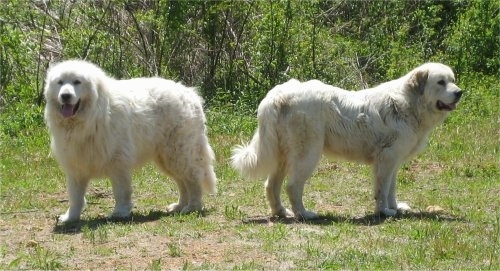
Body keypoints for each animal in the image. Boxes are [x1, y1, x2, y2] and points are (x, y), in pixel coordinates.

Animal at [46, 59, 217, 223]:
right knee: (182, 182)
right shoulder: (76, 166)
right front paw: (70, 218)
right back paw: (179, 206)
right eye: (60, 82)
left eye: (77, 82)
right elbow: (75, 197)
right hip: (167, 159)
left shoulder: (118, 162)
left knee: (194, 178)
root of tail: (191, 94)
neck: (90, 118)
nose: (65, 96)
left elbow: (121, 192)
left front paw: (120, 213)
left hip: (178, 154)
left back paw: (192, 207)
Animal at [232, 62, 462, 220]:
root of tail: (276, 95)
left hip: (283, 155)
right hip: (308, 154)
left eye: (452, 79)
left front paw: (395, 208)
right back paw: (304, 214)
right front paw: (383, 211)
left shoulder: (393, 161)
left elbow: (391, 189)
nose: (459, 92)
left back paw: (281, 212)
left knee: (271, 185)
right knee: (293, 186)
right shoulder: (387, 159)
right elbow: (382, 189)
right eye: (441, 82)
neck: (411, 103)